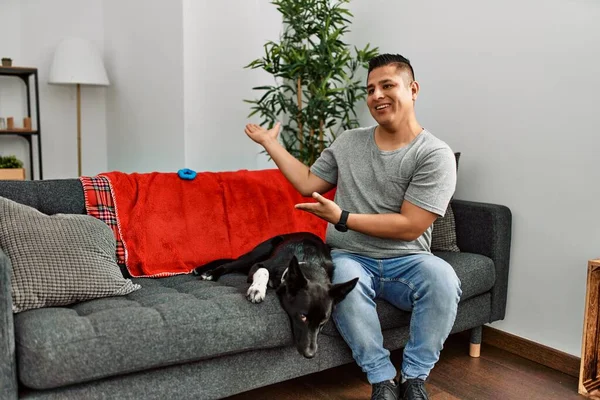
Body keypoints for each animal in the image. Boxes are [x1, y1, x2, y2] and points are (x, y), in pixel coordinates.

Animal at [195, 231, 358, 360]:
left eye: (324, 321)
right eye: (302, 316)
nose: (310, 354)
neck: (308, 262)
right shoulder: (259, 265)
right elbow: (264, 271)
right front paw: (257, 290)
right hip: (256, 255)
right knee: (230, 264)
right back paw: (209, 272)